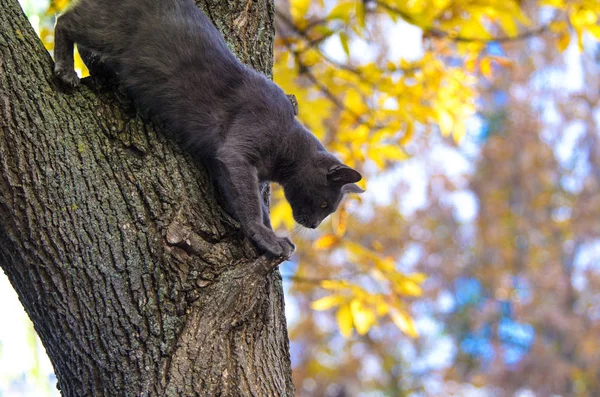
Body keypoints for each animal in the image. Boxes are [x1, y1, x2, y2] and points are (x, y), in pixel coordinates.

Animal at [55, 0, 366, 256]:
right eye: (325, 206)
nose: (314, 225)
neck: (286, 145)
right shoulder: (238, 154)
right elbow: (252, 205)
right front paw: (266, 238)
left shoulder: (242, 170)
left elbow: (258, 206)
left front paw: (271, 235)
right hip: (109, 29)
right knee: (65, 20)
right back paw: (66, 70)